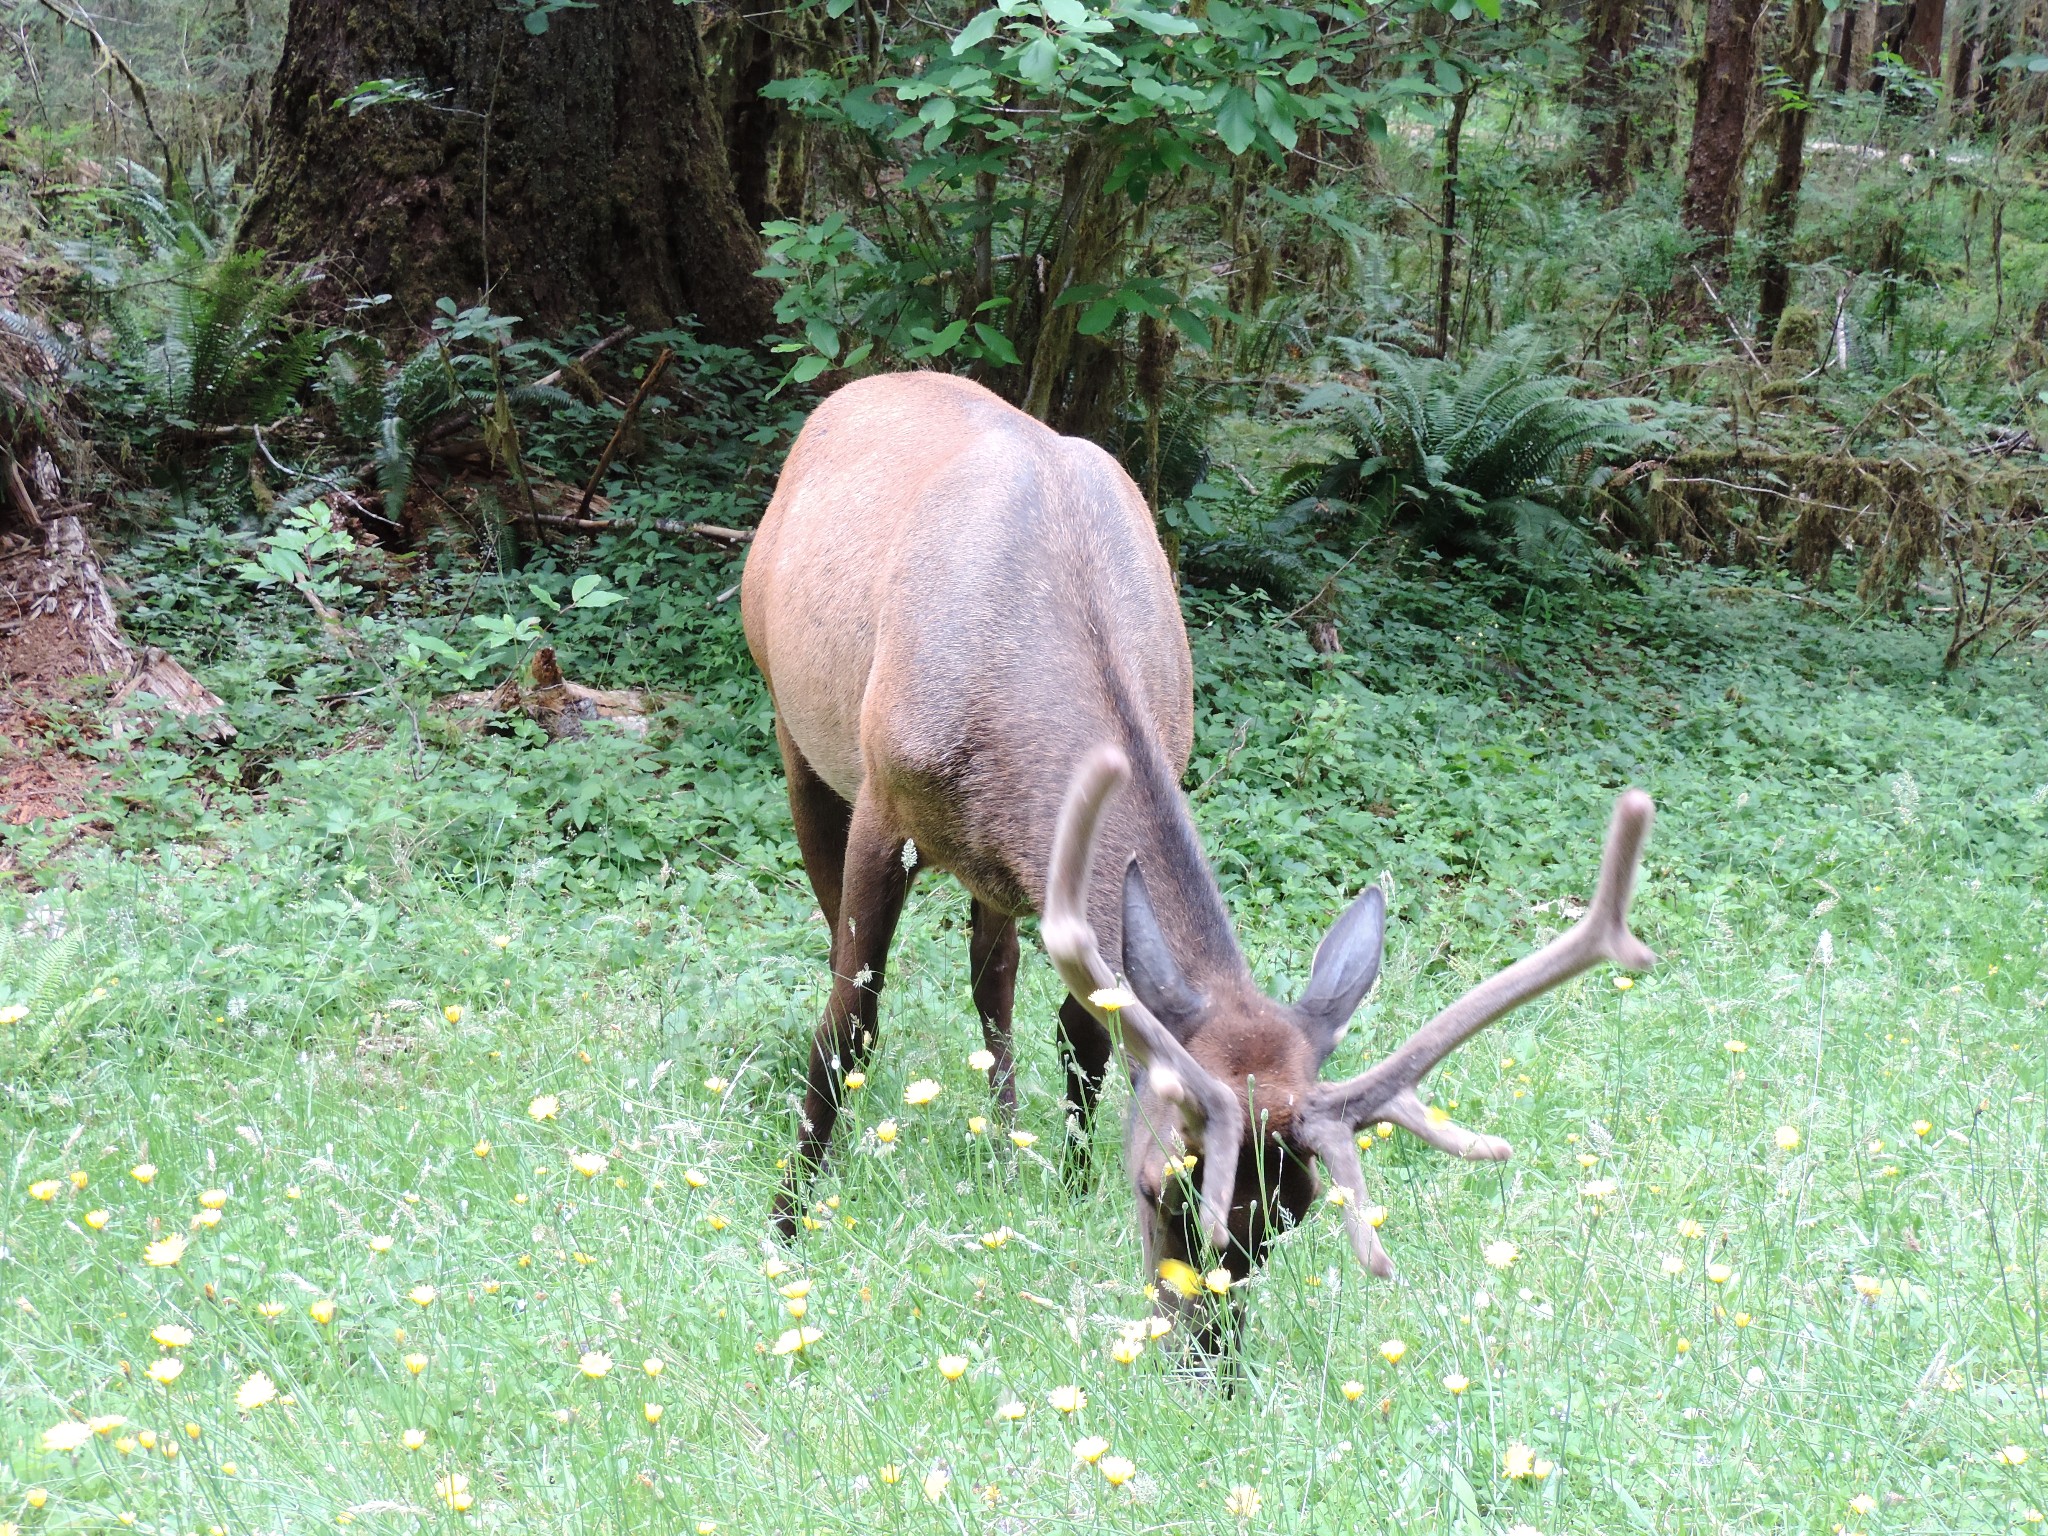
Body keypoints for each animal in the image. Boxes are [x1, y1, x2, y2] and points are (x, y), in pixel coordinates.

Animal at [745, 372, 1654, 1327]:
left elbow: (1085, 1029)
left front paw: (1068, 1184)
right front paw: (789, 1218)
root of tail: (856, 389)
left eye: (1293, 1212)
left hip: (989, 865)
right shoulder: (885, 806)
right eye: (1162, 1187)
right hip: (797, 729)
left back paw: (1002, 1140)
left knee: (993, 969)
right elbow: (849, 1017)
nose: (1207, 1343)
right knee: (846, 936)